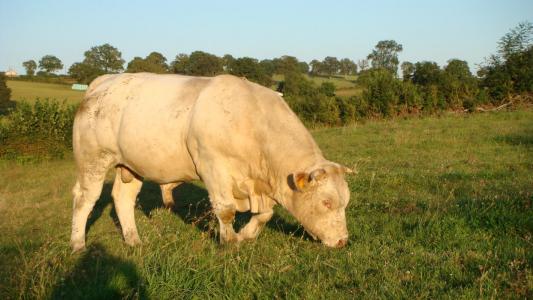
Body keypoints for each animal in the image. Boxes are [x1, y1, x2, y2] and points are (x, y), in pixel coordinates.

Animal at [70, 72, 354, 251]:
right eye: (326, 202)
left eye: (345, 202)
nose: (342, 241)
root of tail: (105, 81)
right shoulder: (213, 167)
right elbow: (226, 210)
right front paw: (229, 242)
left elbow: (266, 214)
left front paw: (246, 235)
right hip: (93, 160)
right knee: (85, 199)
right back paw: (77, 244)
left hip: (130, 166)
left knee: (123, 198)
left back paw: (133, 240)